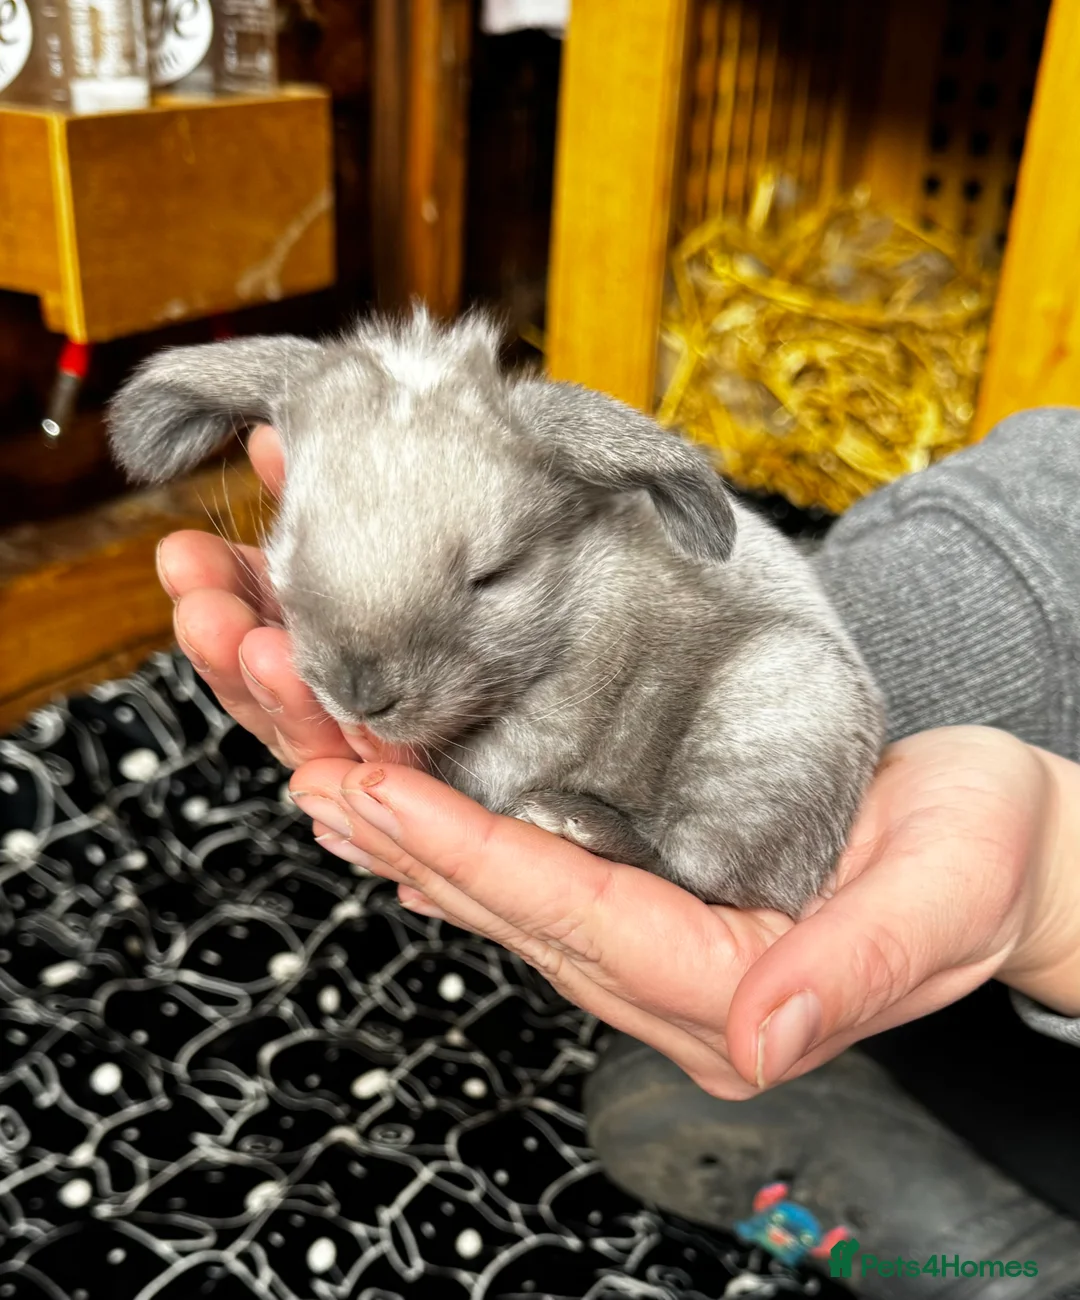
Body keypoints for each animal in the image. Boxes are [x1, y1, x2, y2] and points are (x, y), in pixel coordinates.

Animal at [107, 308, 885, 916]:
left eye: (491, 576)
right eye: (291, 543)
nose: (361, 697)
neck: (570, 605)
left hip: (776, 706)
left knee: (697, 873)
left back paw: (572, 823)